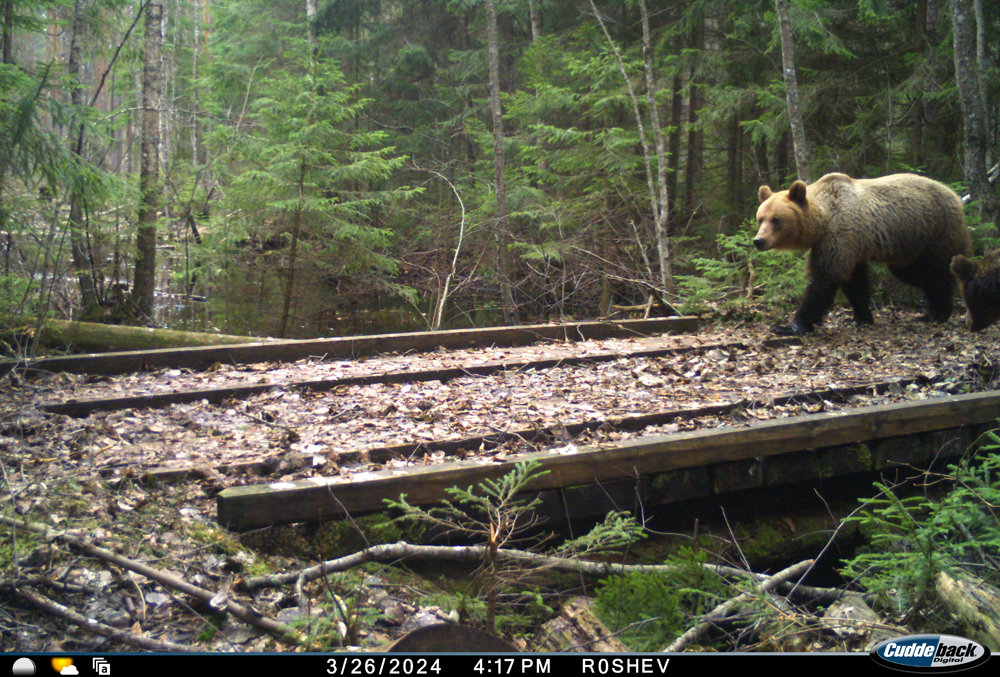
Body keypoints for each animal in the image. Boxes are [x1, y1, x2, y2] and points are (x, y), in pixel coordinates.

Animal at [752, 172, 972, 336]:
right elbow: (854, 282)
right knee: (917, 275)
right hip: (910, 246)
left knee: (937, 271)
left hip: (936, 232)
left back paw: (940, 312)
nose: (758, 240)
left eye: (776, 219)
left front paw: (794, 325)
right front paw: (862, 316)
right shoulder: (852, 246)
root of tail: (956, 196)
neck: (824, 220)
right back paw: (929, 312)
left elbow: (825, 279)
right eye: (760, 218)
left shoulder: (839, 235)